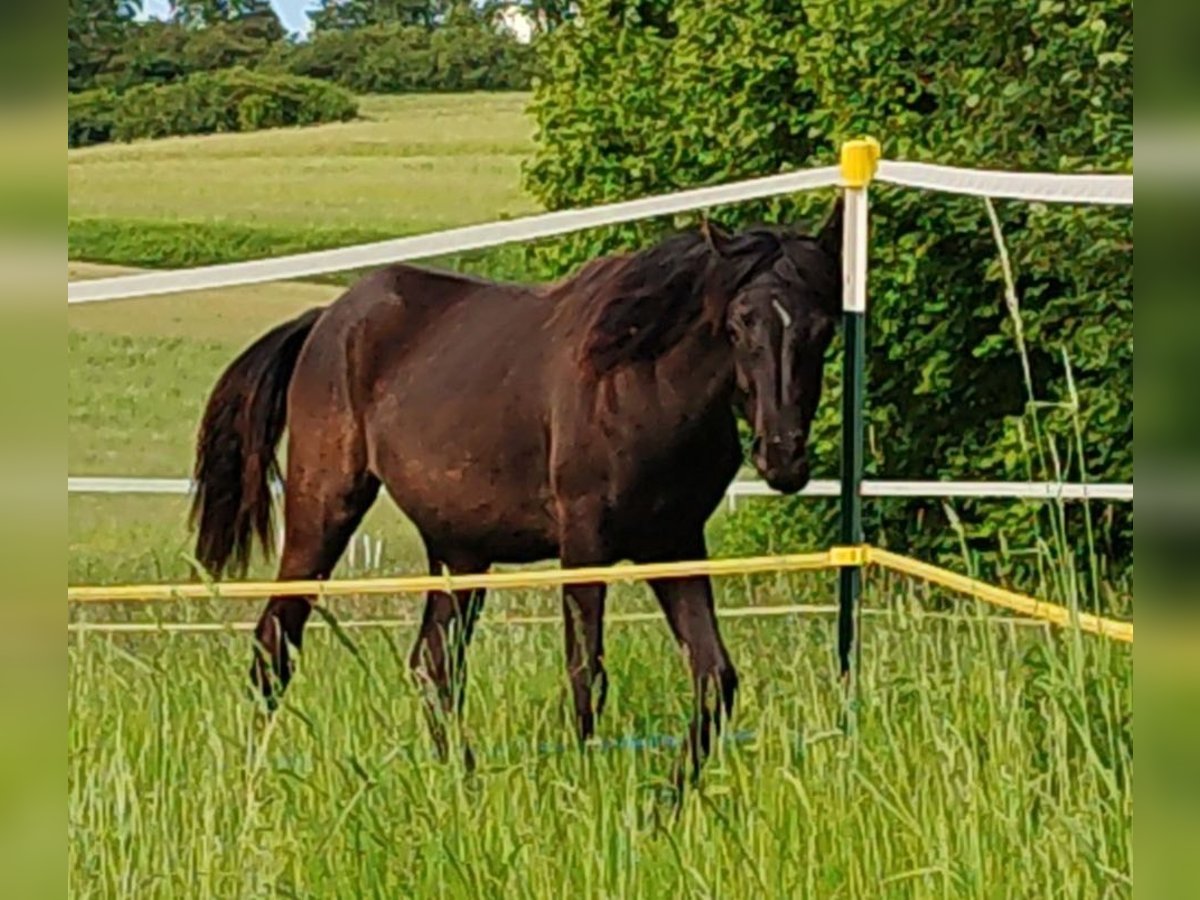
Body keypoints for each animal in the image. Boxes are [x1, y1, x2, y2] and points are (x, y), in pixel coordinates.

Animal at [189, 200, 844, 777]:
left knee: (432, 667)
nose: (782, 456)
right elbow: (587, 675)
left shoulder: (675, 544)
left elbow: (714, 678)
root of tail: (326, 320)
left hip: (459, 551)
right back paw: (254, 782)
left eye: (823, 326)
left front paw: (669, 804)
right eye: (738, 324)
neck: (641, 380)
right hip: (323, 509)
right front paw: (584, 794)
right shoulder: (584, 545)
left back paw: (465, 784)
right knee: (275, 647)